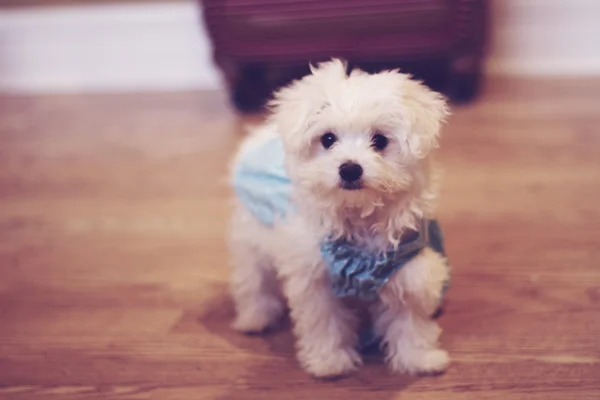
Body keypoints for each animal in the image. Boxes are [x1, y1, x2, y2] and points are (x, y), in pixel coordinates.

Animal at [229, 59, 450, 378]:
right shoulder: (315, 279)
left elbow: (410, 322)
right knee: (253, 280)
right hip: (251, 237)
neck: (357, 217)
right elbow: (325, 324)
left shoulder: (408, 270)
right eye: (328, 139)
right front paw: (329, 362)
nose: (349, 169)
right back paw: (255, 318)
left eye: (380, 140)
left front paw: (418, 359)